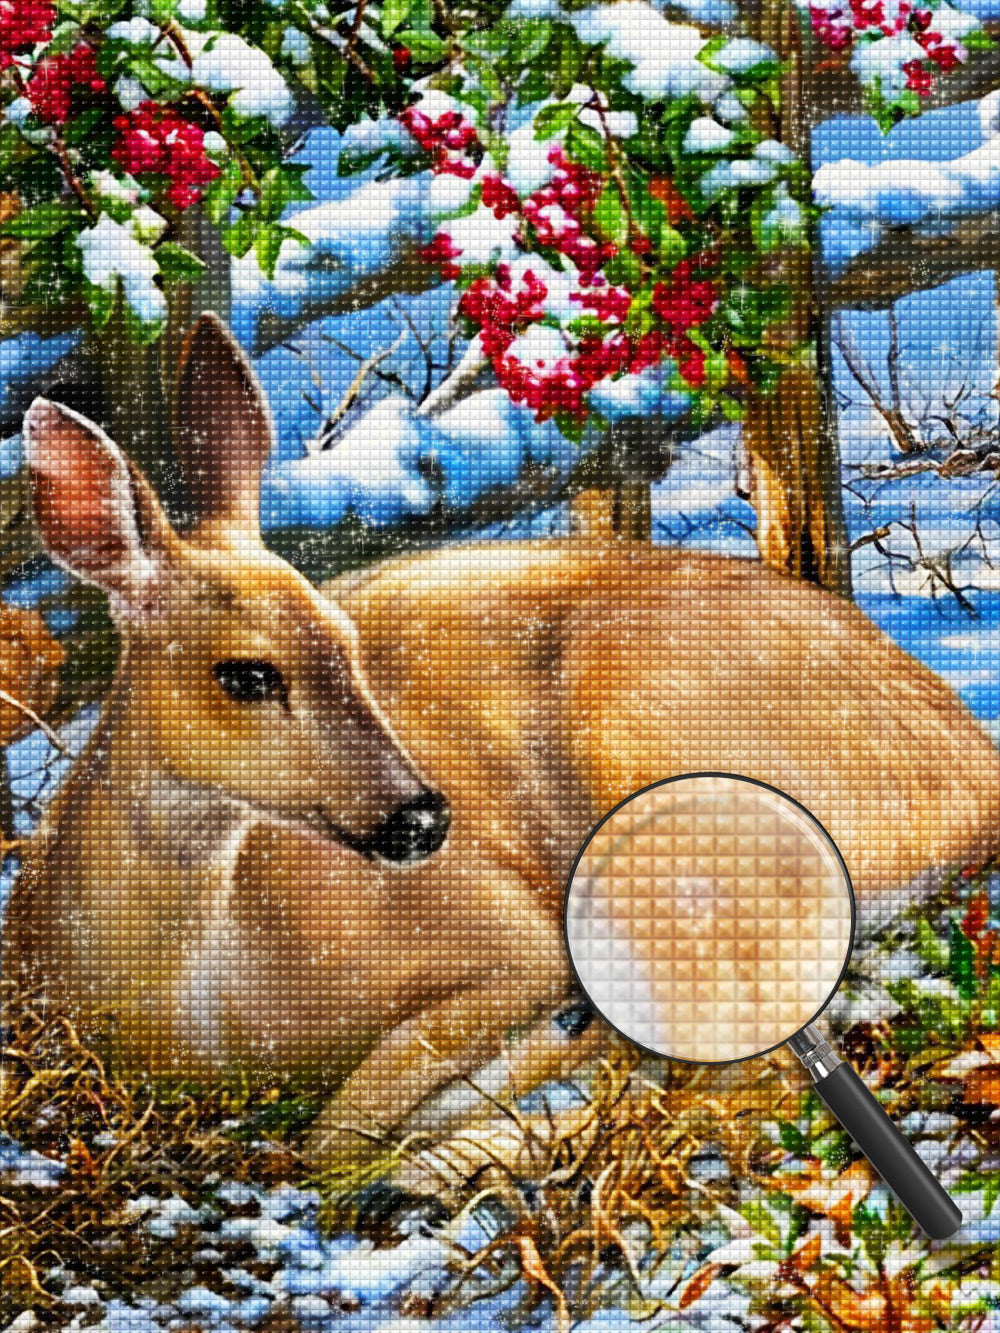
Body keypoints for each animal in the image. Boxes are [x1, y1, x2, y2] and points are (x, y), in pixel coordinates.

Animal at [3, 312, 998, 1179]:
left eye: (348, 644)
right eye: (245, 674)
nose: (421, 815)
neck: (186, 1007)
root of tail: (976, 771)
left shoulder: (510, 931)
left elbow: (339, 1126)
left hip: (656, 796)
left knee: (746, 1069)